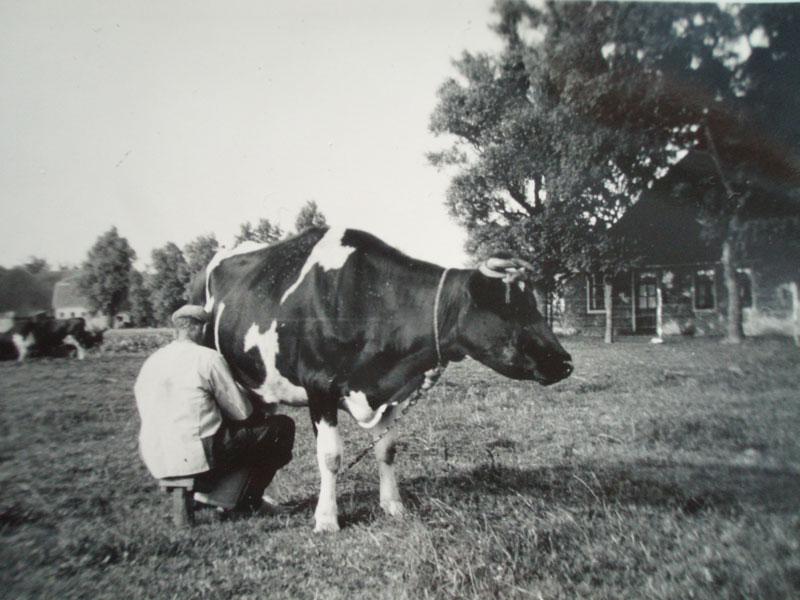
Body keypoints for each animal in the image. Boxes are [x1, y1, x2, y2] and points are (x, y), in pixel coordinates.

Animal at [195, 227, 568, 532]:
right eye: (511, 306)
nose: (565, 362)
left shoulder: (388, 393)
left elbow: (386, 450)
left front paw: (393, 505)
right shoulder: (320, 387)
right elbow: (330, 456)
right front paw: (327, 519)